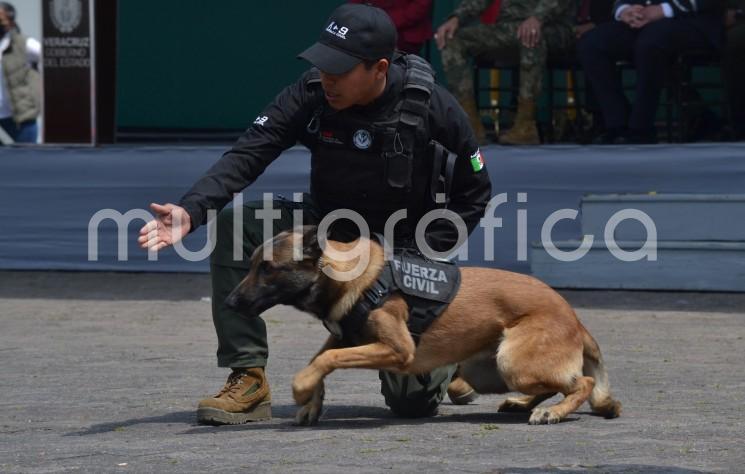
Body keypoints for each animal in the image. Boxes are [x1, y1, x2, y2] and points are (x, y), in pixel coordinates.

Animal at [225, 226, 620, 426]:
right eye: (253, 265)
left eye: (267, 269)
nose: (229, 303)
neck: (349, 277)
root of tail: (575, 318)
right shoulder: (345, 337)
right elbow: (319, 360)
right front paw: (312, 402)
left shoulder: (397, 350)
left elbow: (323, 361)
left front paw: (302, 389)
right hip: (486, 371)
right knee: (555, 385)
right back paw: (523, 403)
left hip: (512, 361)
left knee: (581, 384)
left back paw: (552, 411)